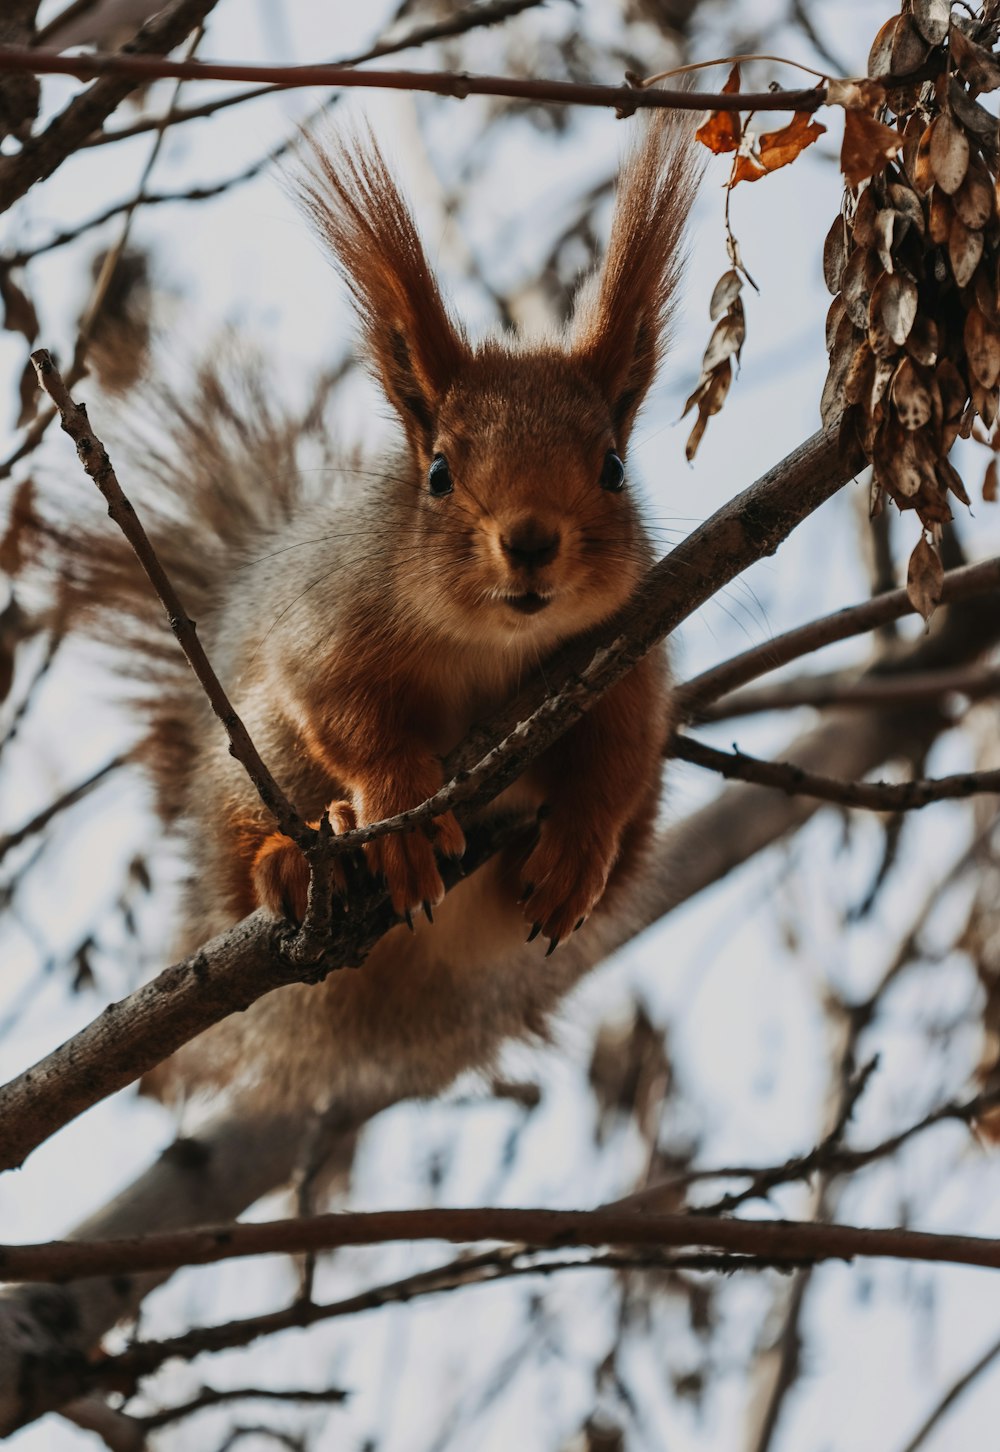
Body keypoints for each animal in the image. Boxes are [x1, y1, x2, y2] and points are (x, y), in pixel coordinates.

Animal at [44, 119, 693, 1120]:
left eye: (614, 468)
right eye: (439, 471)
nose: (531, 540)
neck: (489, 642)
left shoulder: (629, 657)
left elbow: (619, 760)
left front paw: (580, 842)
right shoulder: (330, 625)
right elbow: (348, 714)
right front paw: (395, 807)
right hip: (254, 761)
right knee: (245, 859)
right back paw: (298, 857)